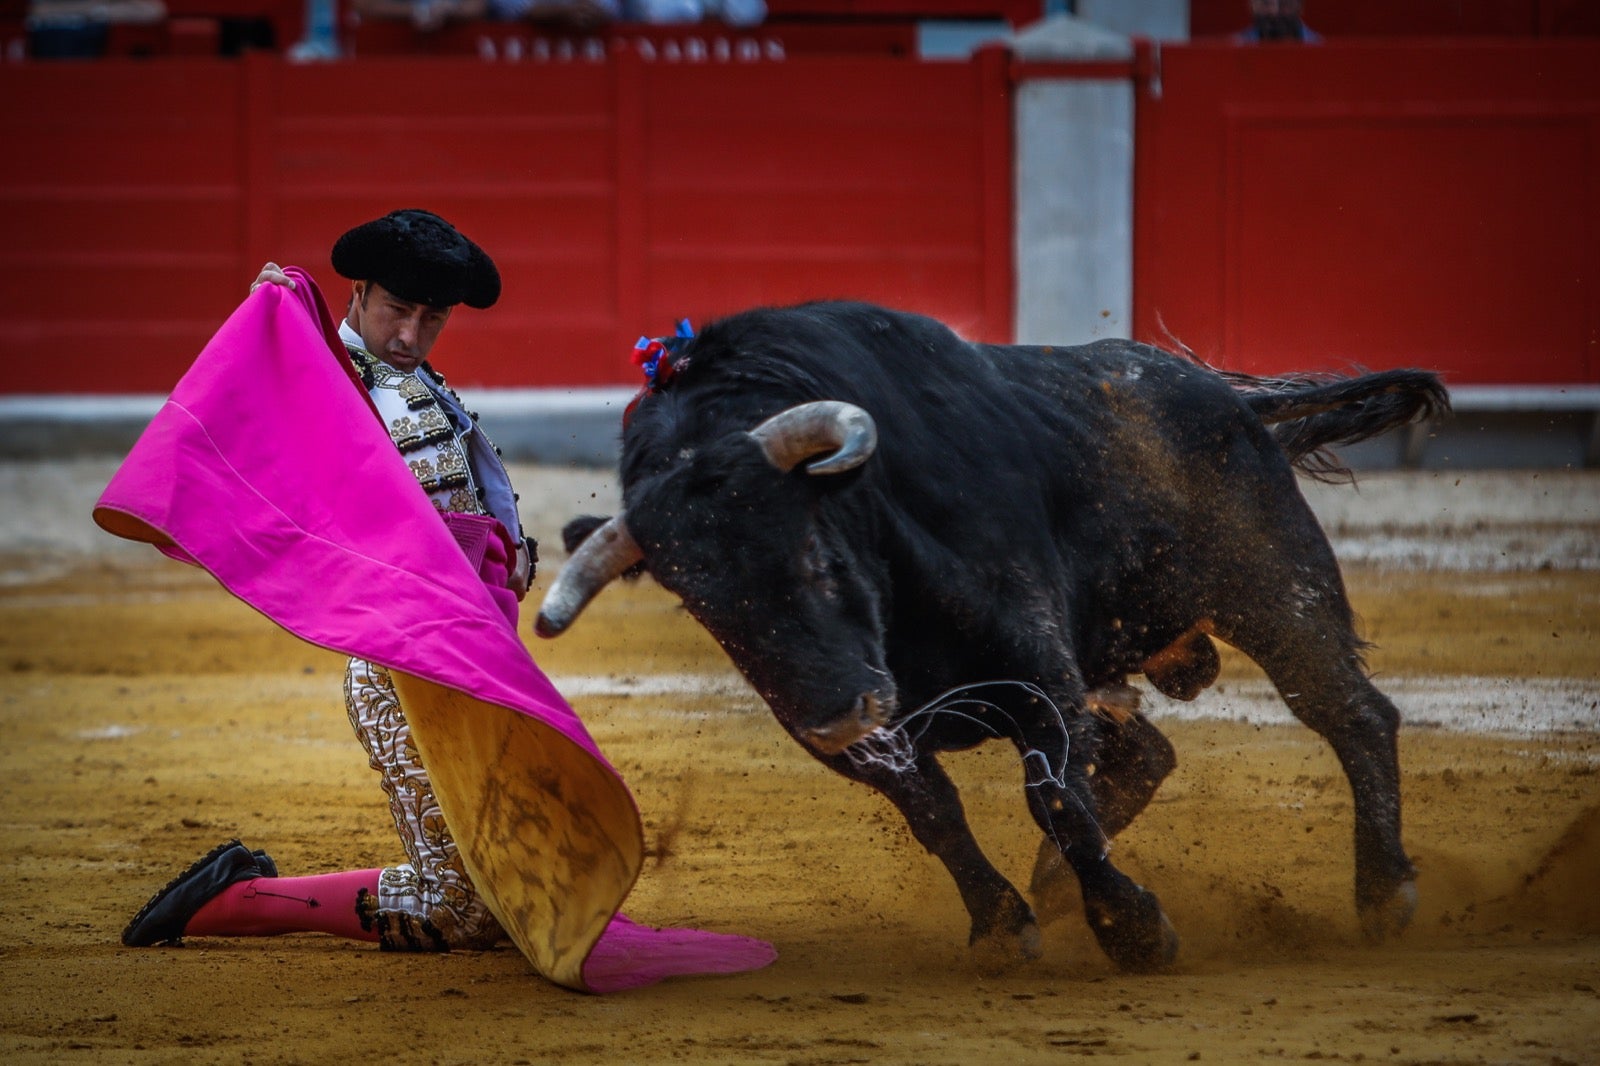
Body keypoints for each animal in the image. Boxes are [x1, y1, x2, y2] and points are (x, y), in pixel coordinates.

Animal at [537, 300, 1452, 973]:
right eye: (707, 607)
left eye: (817, 557)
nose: (837, 715)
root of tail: (1228, 398)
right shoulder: (870, 732)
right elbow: (934, 812)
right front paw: (1003, 927)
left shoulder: (1033, 667)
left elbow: (1052, 793)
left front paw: (1133, 931)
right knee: (1149, 751)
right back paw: (1054, 883)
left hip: (1273, 590)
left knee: (1351, 712)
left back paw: (1385, 895)